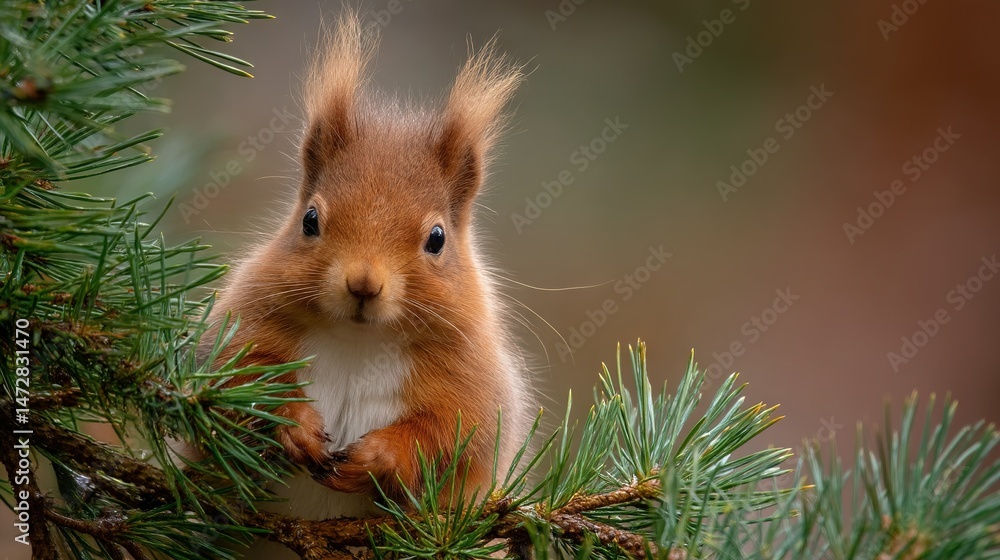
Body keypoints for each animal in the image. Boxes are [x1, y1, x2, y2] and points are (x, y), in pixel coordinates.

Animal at [205, 11, 533, 527]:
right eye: (310, 220)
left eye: (437, 238)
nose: (363, 283)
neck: (360, 341)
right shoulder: (244, 324)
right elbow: (240, 377)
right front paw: (295, 426)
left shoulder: (473, 384)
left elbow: (448, 435)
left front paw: (376, 458)